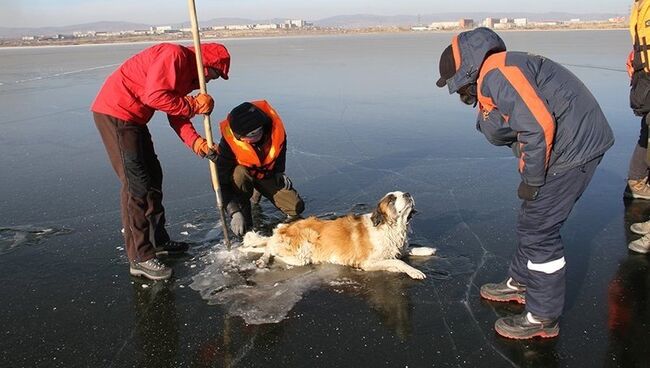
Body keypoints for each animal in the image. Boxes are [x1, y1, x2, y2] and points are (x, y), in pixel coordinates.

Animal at [239, 193, 436, 278]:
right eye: (392, 199)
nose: (408, 193)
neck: (389, 227)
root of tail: (285, 227)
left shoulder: (395, 248)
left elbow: (406, 252)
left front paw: (425, 250)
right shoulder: (367, 263)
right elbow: (399, 262)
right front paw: (414, 271)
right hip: (301, 254)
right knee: (270, 248)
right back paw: (262, 260)